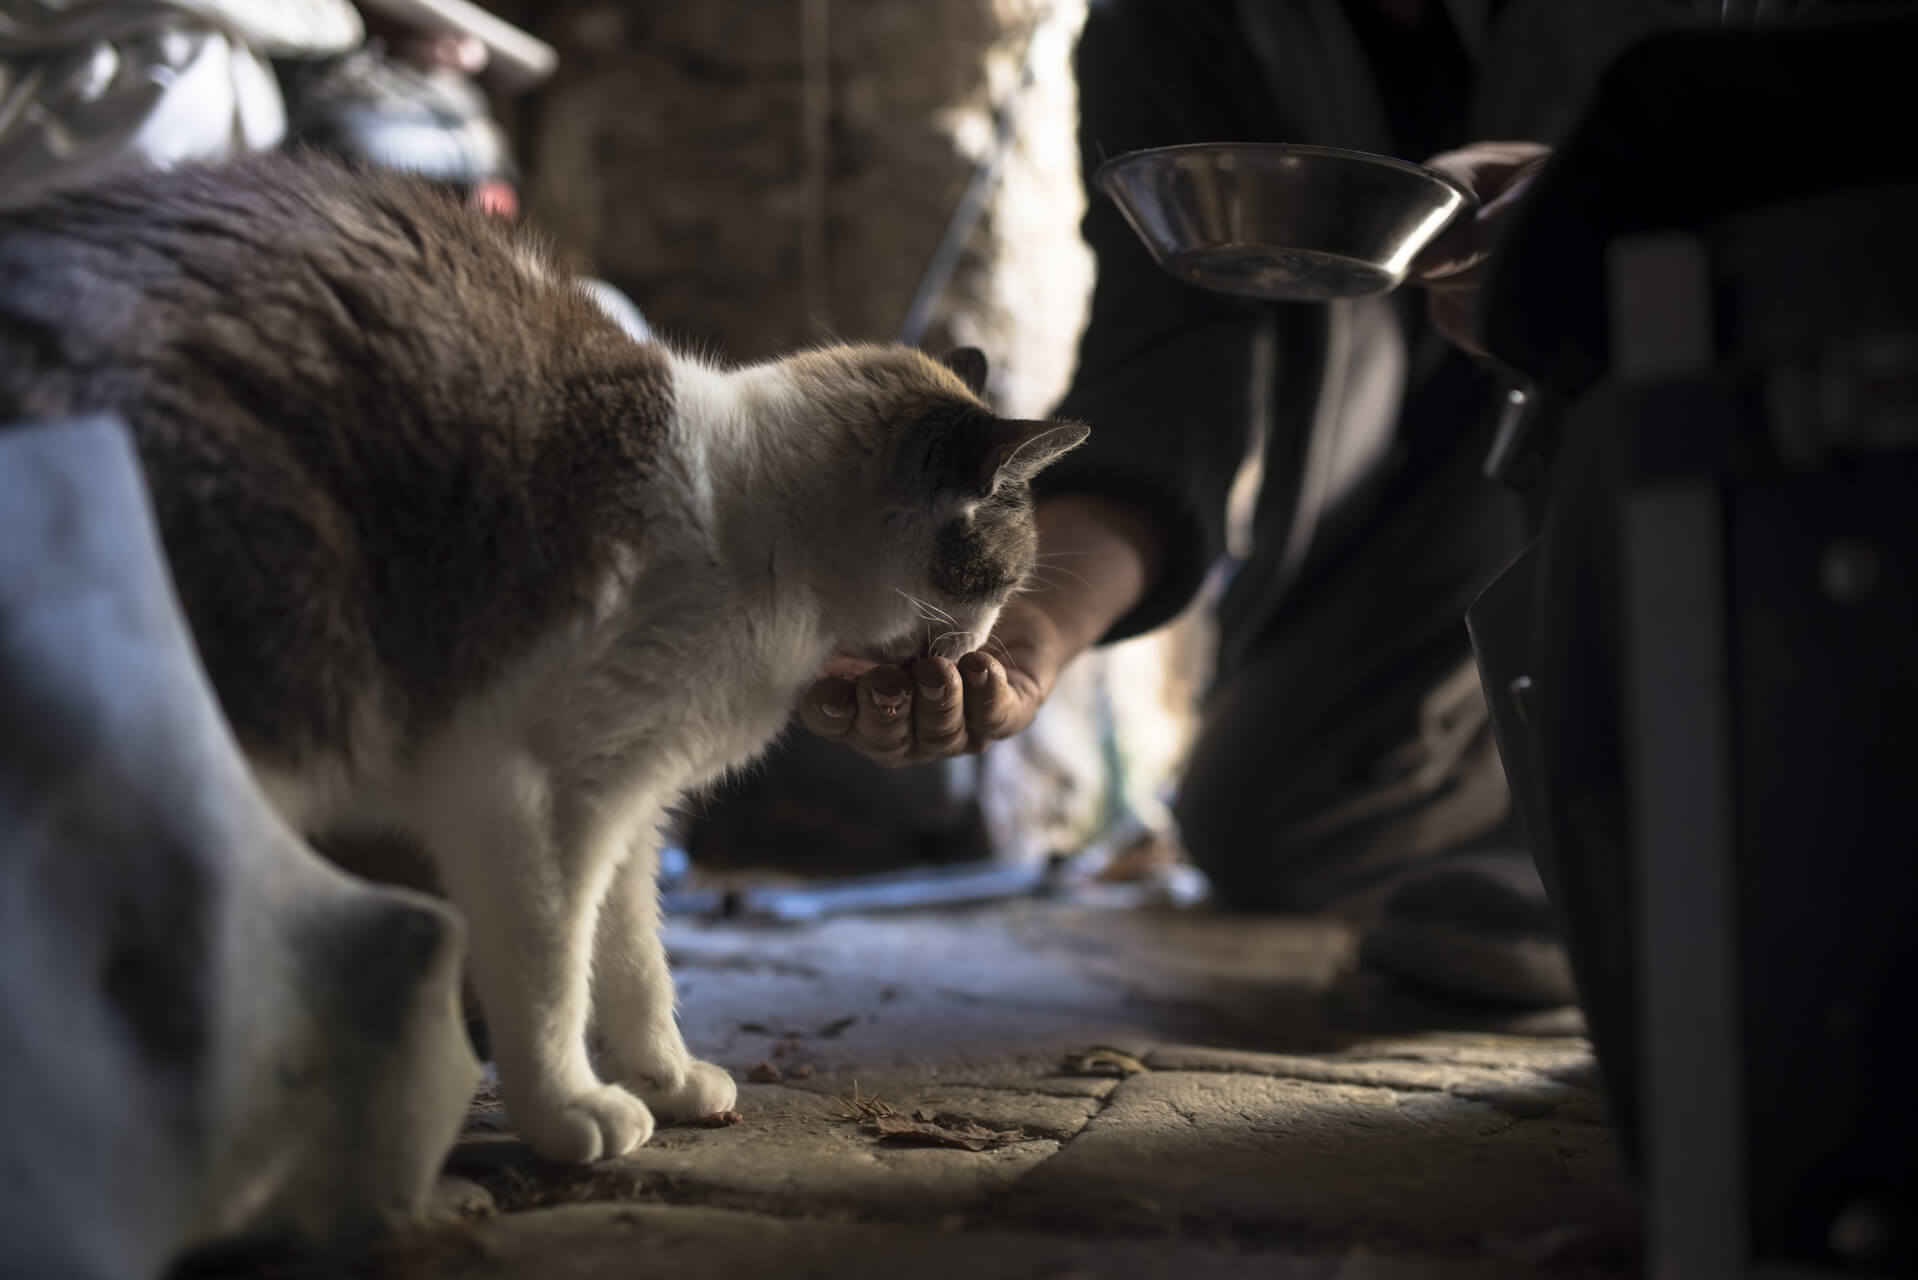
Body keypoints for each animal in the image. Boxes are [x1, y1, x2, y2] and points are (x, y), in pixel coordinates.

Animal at [0, 155, 1089, 1166]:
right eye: (1001, 578)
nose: (983, 643)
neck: (758, 525)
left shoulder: (628, 803)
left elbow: (636, 962)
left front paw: (670, 1082)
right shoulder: (523, 789)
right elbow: (550, 967)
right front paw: (571, 1112)